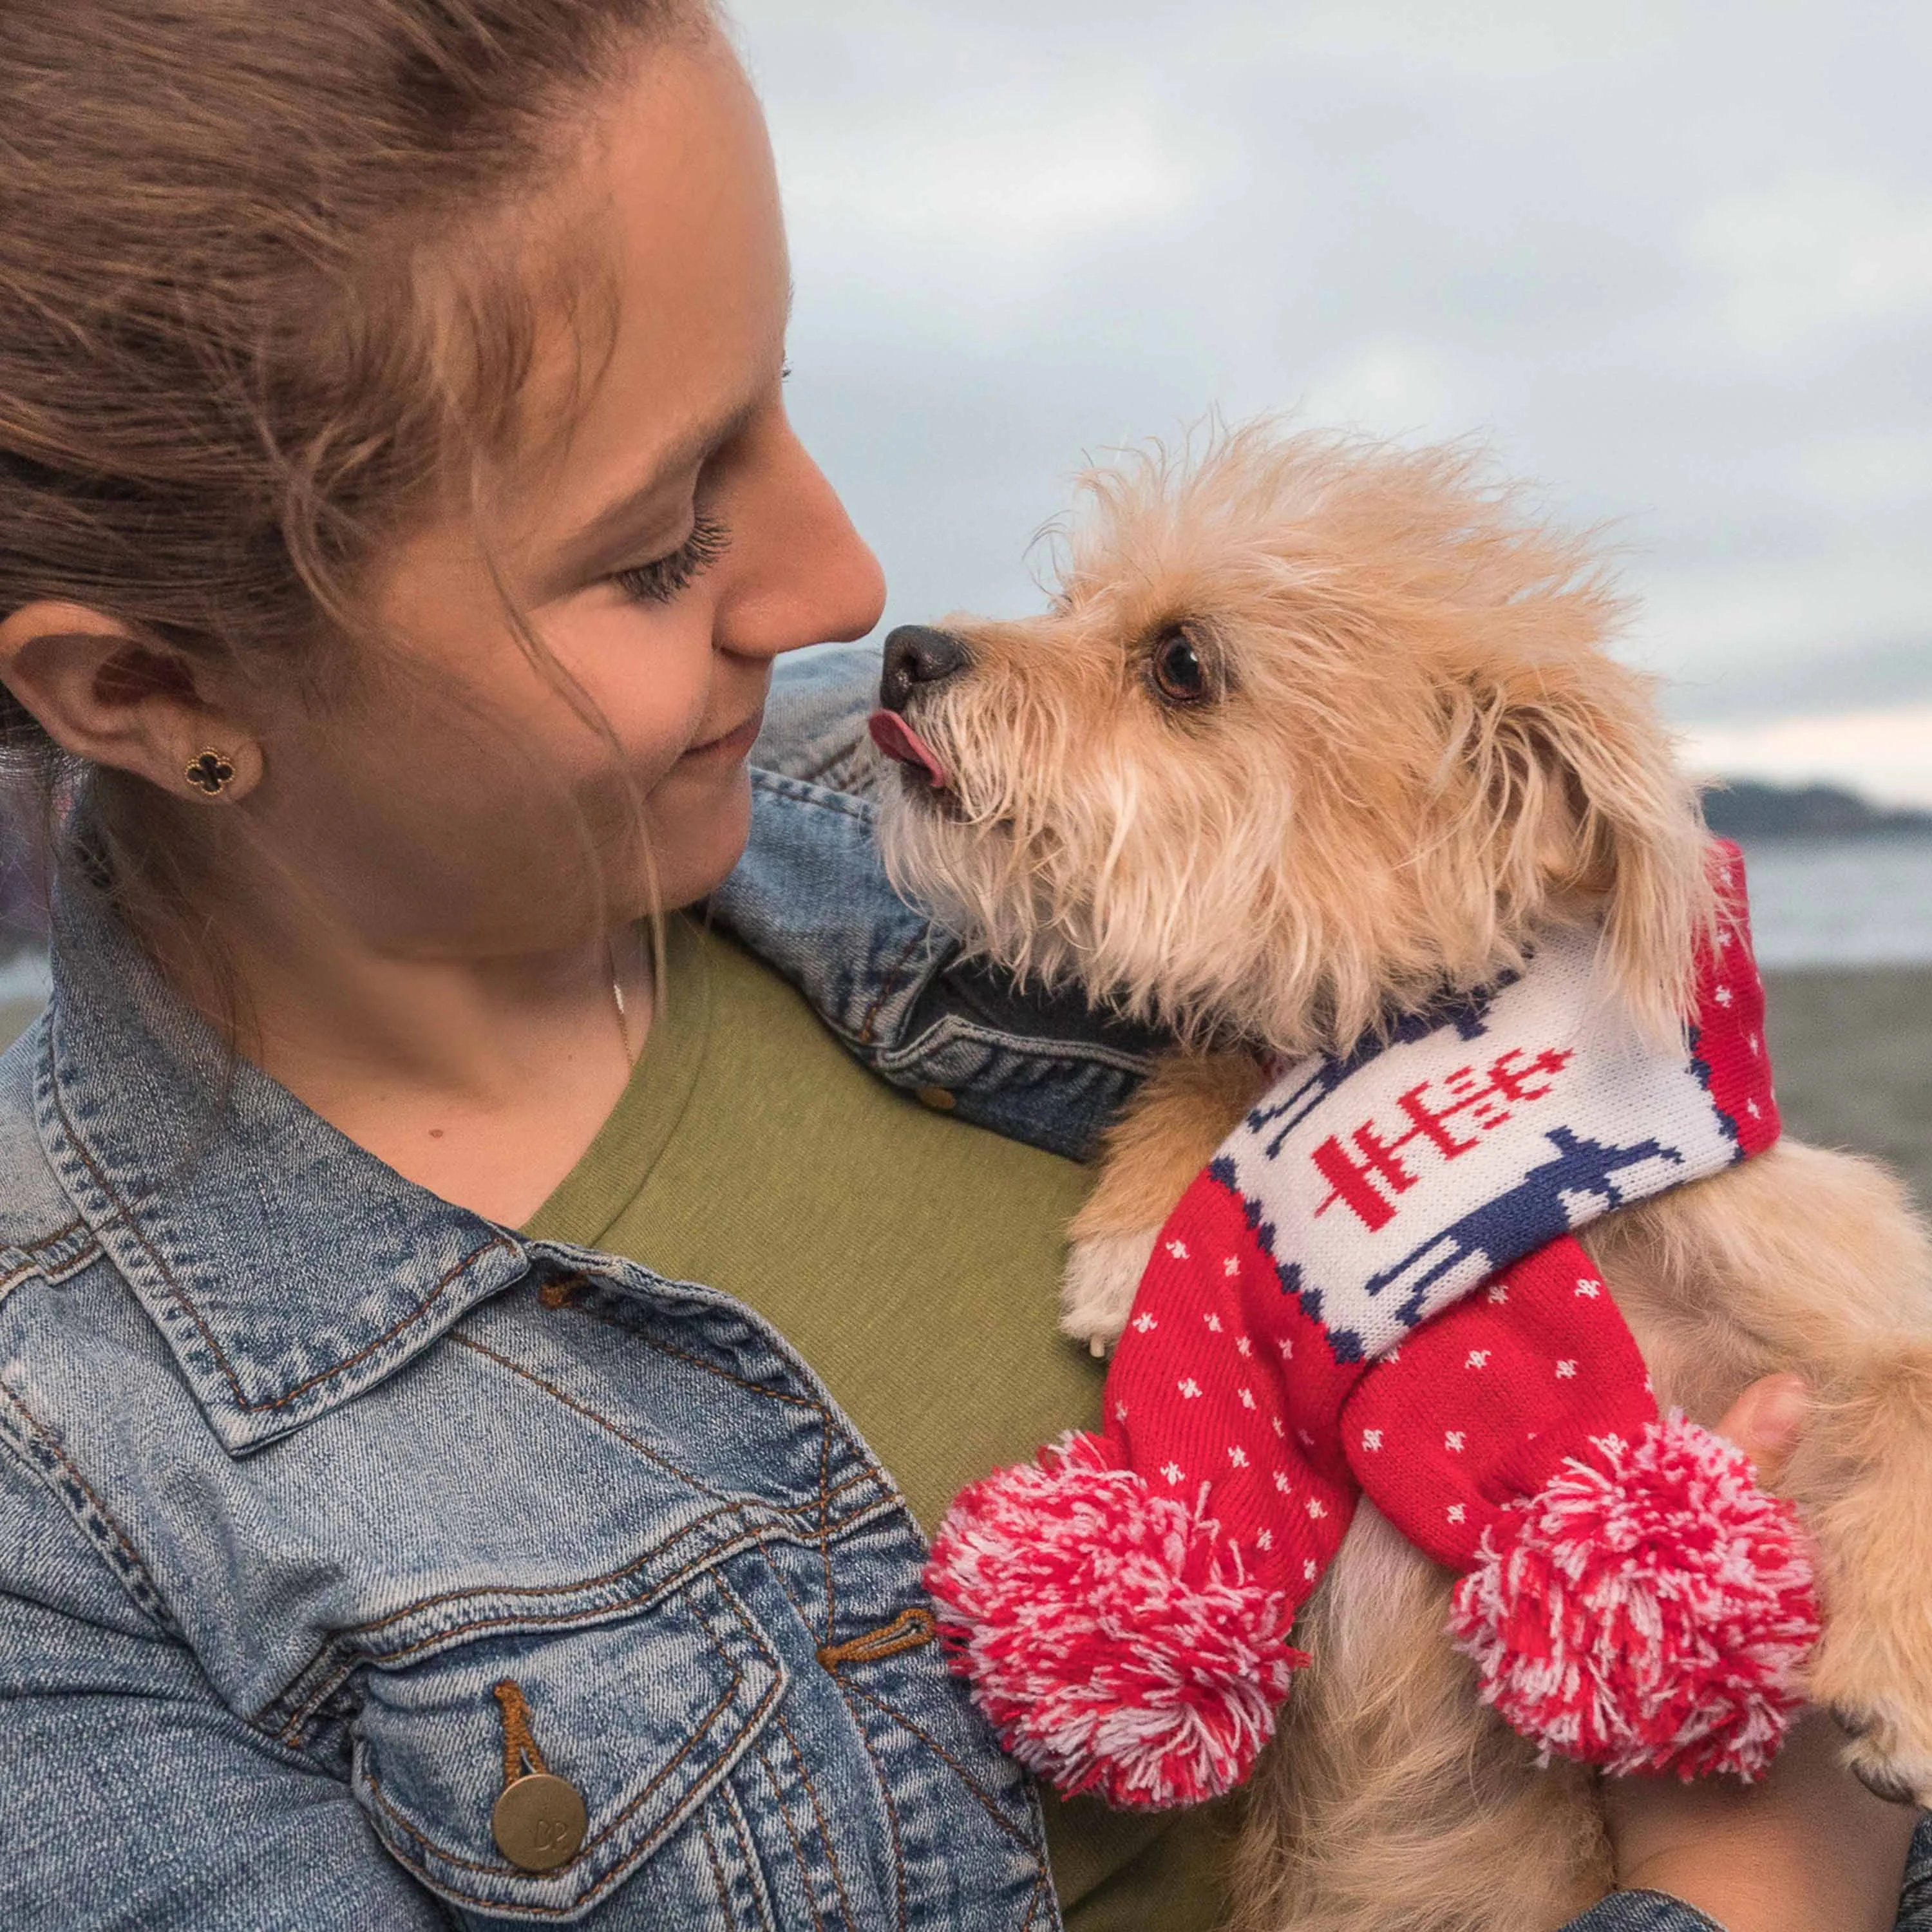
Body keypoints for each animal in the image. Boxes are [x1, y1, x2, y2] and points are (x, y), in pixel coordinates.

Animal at [866, 431, 1932, 1932]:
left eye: (1180, 664)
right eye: (1074, 604)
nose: (903, 651)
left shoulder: (1839, 1266)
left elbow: (1909, 1377)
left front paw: (1899, 1671)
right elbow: (1230, 1051)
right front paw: (1144, 1229)